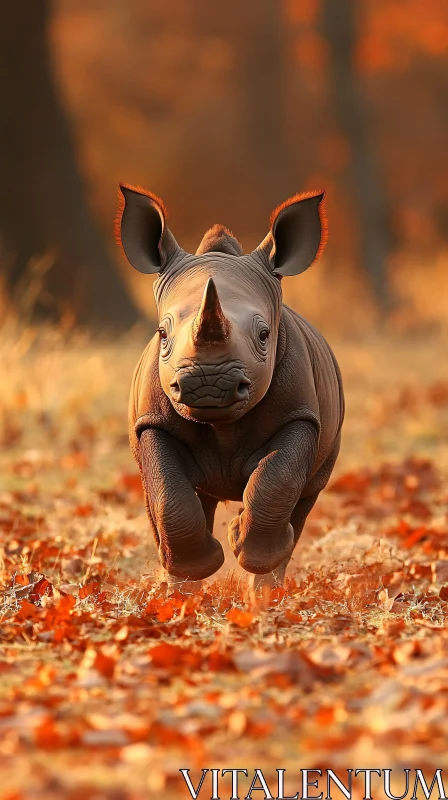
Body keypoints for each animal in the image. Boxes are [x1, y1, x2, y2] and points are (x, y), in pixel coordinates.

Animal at [115, 186, 344, 588]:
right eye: (162, 334)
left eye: (264, 335)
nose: (208, 385)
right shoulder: (150, 420)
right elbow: (168, 495)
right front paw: (197, 569)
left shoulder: (300, 415)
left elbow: (278, 479)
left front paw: (243, 543)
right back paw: (180, 589)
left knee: (305, 497)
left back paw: (267, 587)